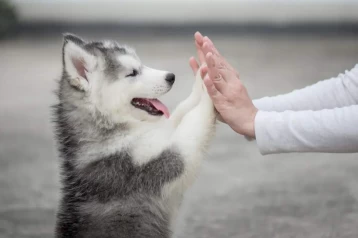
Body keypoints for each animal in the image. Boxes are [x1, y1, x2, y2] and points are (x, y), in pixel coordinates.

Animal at [52, 34, 215, 238]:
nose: (171, 77)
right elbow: (193, 122)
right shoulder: (159, 163)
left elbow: (181, 111)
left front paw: (202, 77)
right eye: (132, 73)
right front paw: (210, 85)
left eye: (141, 64)